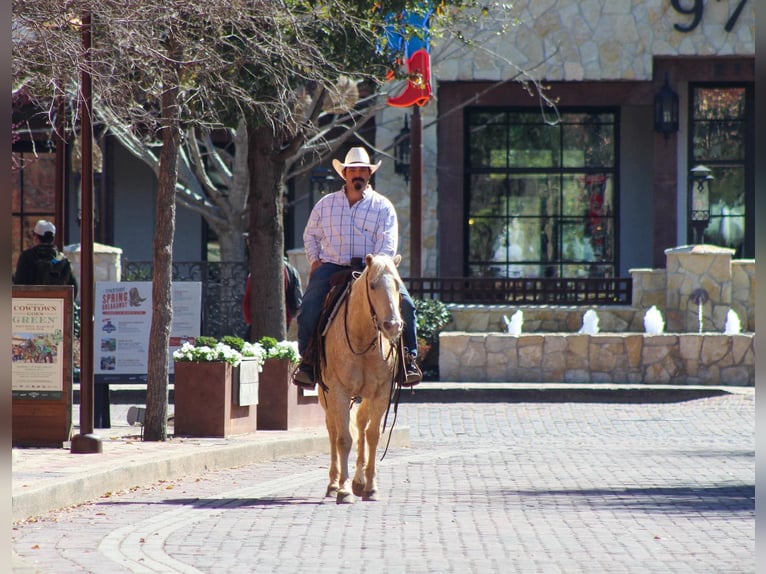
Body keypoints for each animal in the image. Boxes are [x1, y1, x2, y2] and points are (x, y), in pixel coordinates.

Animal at [318, 253, 404, 504]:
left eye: (398, 285)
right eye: (373, 285)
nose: (392, 325)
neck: (363, 338)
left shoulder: (382, 392)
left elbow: (372, 435)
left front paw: (370, 487)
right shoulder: (338, 390)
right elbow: (344, 439)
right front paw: (344, 490)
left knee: (361, 423)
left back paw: (359, 480)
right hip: (324, 395)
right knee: (333, 430)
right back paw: (334, 484)